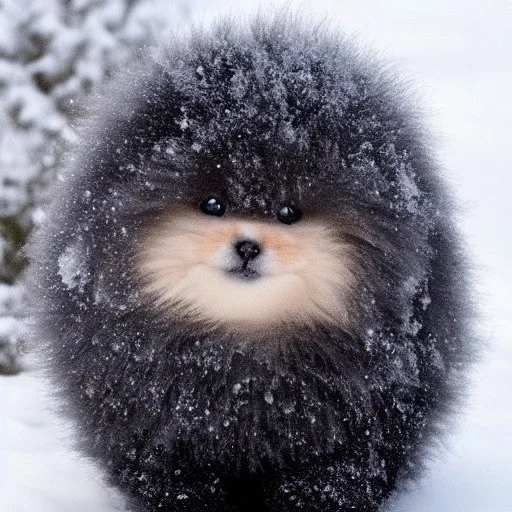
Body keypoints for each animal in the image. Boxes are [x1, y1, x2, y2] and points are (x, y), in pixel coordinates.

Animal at [30, 15, 474, 512]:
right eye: (213, 204)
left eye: (289, 212)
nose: (247, 247)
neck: (243, 360)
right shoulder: (150, 421)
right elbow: (172, 476)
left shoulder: (361, 423)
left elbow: (333, 477)